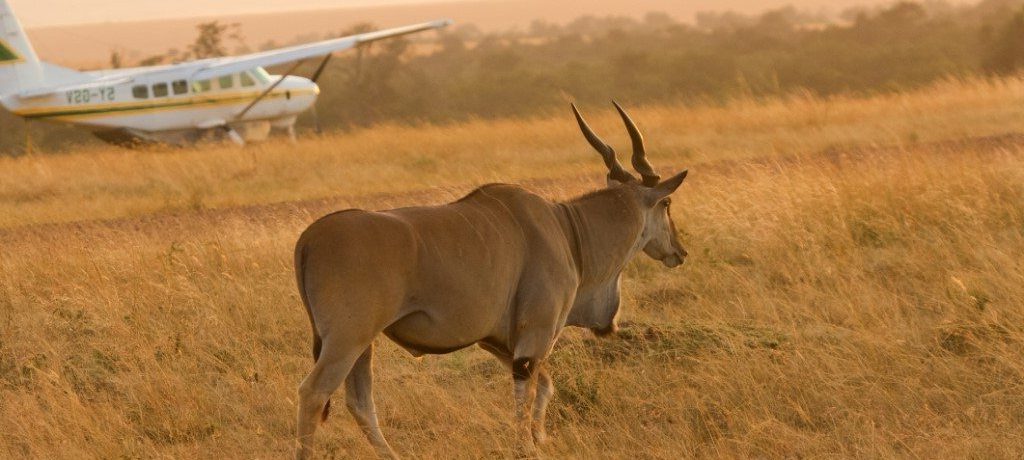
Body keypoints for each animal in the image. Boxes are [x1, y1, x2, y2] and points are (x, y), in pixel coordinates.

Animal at [294, 100, 688, 454]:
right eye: (666, 204)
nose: (679, 252)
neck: (566, 229)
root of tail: (308, 239)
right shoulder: (535, 335)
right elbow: (528, 391)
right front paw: (526, 446)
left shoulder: (498, 341)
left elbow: (544, 386)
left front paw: (539, 439)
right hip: (347, 340)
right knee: (313, 393)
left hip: (362, 345)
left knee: (360, 403)